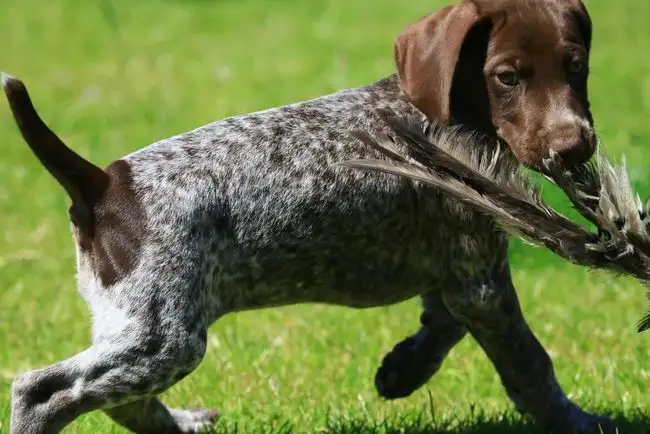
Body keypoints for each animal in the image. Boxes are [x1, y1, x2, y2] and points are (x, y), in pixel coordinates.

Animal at [3, 0, 612, 432]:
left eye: (576, 66)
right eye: (507, 77)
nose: (574, 147)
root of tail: (104, 183)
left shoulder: (460, 271)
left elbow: (443, 325)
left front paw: (403, 369)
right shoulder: (479, 279)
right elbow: (529, 365)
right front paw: (578, 422)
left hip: (135, 323)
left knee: (122, 402)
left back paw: (182, 426)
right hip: (165, 335)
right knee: (43, 391)